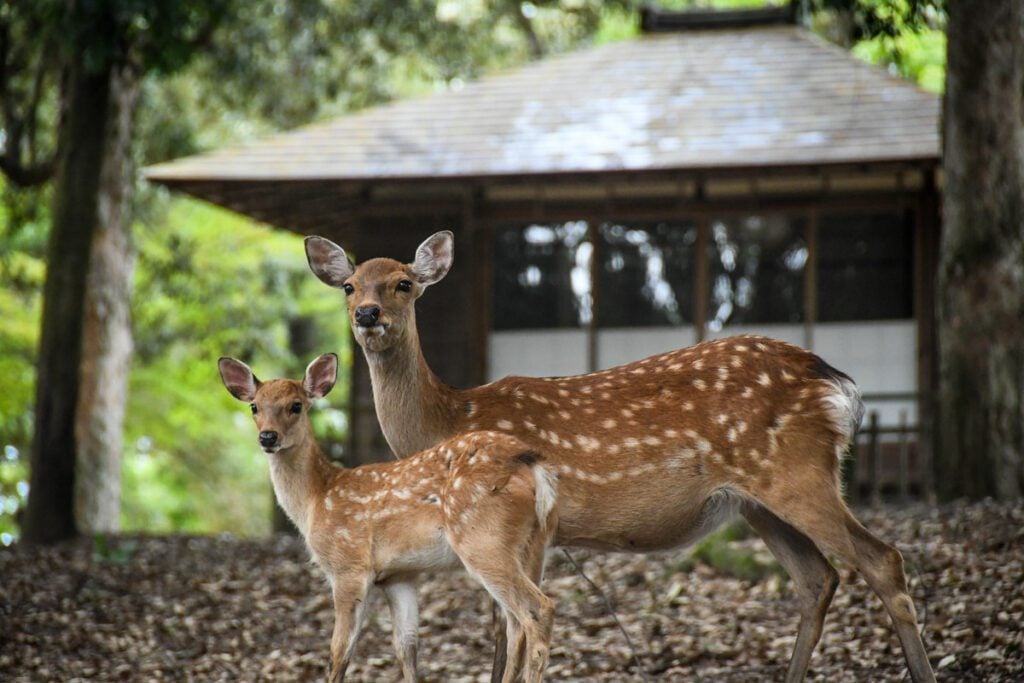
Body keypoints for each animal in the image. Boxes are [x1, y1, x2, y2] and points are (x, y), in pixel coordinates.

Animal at [218, 356, 561, 679]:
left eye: (296, 406)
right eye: (254, 406)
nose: (268, 437)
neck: (315, 500)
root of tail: (531, 466)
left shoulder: (348, 566)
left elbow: (339, 652)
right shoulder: (399, 576)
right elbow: (405, 647)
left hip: (482, 539)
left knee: (538, 609)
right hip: (535, 544)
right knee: (516, 624)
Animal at [301, 232, 937, 679]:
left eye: (404, 283)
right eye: (349, 286)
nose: (367, 316)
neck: (450, 417)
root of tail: (834, 381)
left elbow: (507, 632)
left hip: (797, 472)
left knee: (881, 560)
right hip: (756, 500)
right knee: (817, 578)